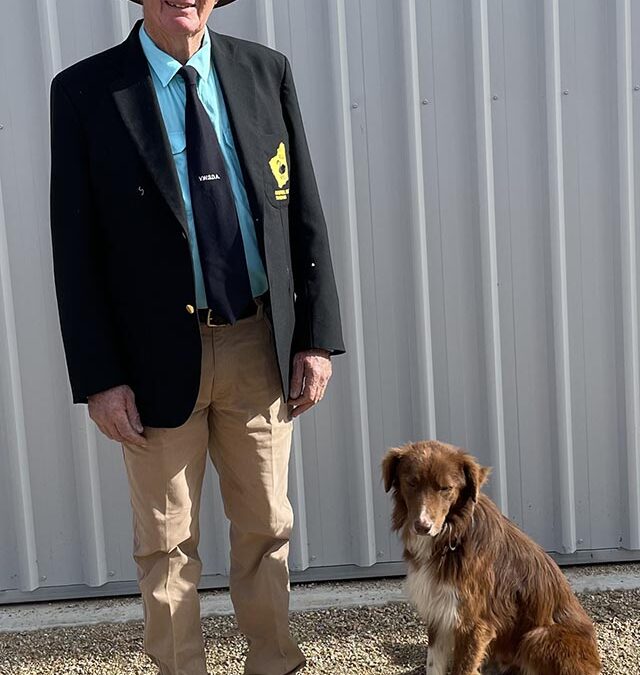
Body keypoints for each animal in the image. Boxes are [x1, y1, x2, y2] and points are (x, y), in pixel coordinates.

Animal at [382, 440, 604, 675]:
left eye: (446, 488)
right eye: (411, 483)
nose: (422, 527)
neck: (453, 535)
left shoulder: (473, 622)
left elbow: (463, 668)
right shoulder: (438, 612)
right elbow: (434, 665)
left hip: (537, 637)